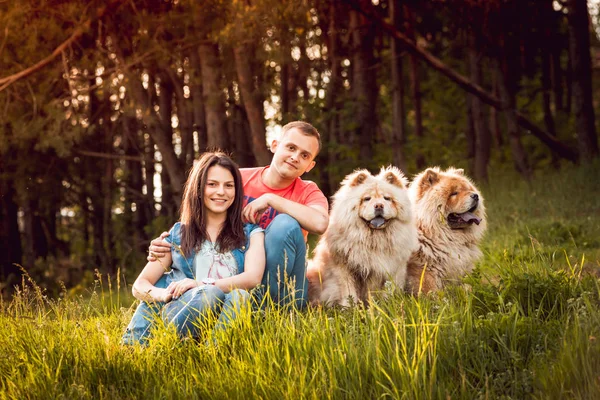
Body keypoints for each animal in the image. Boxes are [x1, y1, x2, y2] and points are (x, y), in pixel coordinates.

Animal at [310, 166, 418, 306]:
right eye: (367, 198)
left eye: (387, 198)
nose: (379, 206)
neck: (374, 239)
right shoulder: (344, 267)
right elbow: (348, 291)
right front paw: (349, 307)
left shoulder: (389, 267)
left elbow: (384, 289)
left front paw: (384, 304)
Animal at [404, 166, 488, 294]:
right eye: (454, 193)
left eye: (469, 190)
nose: (475, 195)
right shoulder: (425, 269)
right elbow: (431, 290)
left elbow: (467, 286)